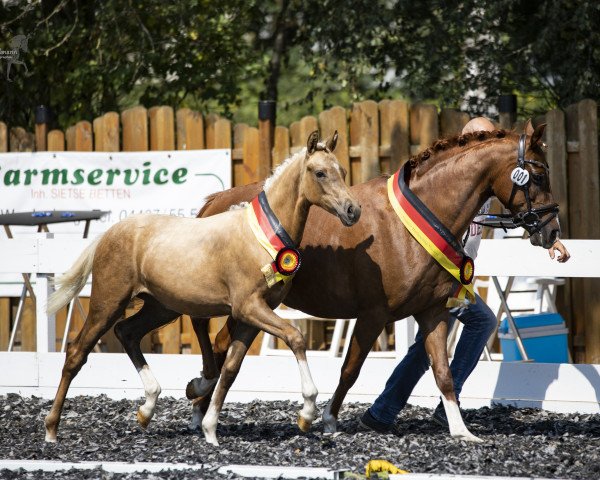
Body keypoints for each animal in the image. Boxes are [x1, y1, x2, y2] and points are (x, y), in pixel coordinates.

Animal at [44, 129, 360, 444]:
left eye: (343, 172)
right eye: (320, 172)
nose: (352, 210)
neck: (261, 237)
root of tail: (107, 235)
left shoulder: (252, 316)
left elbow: (231, 369)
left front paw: (209, 429)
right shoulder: (248, 308)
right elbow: (295, 337)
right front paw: (306, 412)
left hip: (161, 308)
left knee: (127, 332)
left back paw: (147, 408)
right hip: (108, 304)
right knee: (77, 353)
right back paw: (51, 429)